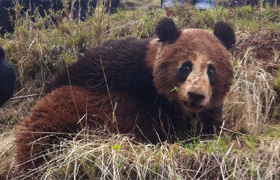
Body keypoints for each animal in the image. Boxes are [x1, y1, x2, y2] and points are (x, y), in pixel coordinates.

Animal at [14, 17, 235, 176]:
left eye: (212, 71)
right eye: (186, 67)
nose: (195, 95)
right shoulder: (131, 62)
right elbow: (90, 66)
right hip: (60, 116)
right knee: (38, 140)